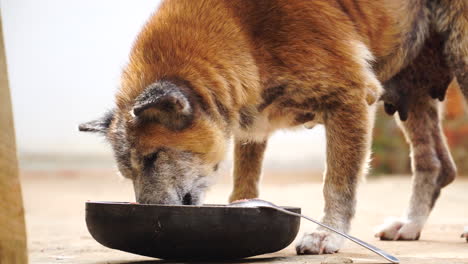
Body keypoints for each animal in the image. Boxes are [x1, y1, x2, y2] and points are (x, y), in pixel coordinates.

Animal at [78, 0, 466, 256]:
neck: (242, 32)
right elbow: (245, 183)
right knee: (437, 165)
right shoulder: (253, 125)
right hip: (414, 91)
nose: (149, 219)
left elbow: (337, 185)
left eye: (153, 158)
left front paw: (327, 236)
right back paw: (410, 224)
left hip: (460, 55)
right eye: (128, 172)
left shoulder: (351, 97)